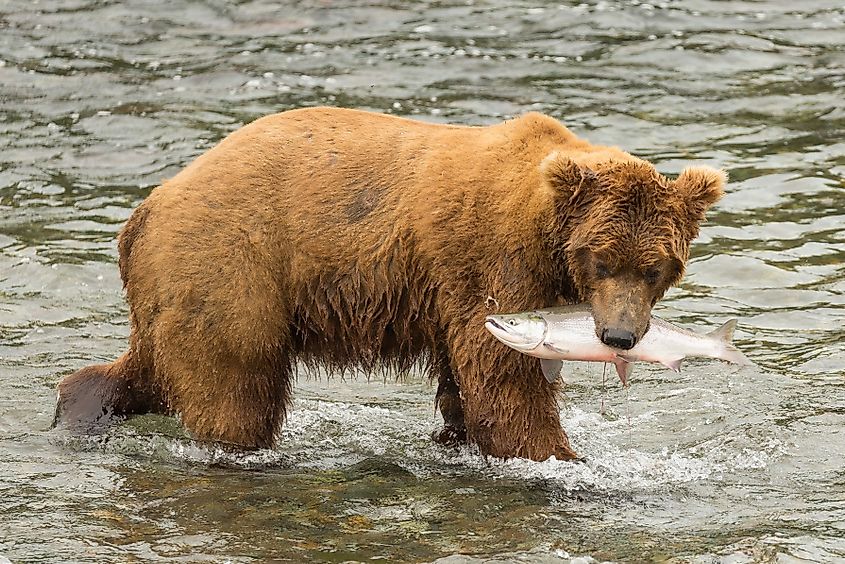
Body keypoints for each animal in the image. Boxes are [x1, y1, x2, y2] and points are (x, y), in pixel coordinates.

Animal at [54, 107, 724, 462]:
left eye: (655, 267)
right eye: (602, 260)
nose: (619, 335)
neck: (547, 231)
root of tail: (148, 207)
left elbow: (465, 380)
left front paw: (460, 440)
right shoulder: (492, 260)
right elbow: (504, 376)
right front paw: (557, 455)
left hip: (186, 281)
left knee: (151, 366)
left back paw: (80, 406)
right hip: (232, 262)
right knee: (234, 382)